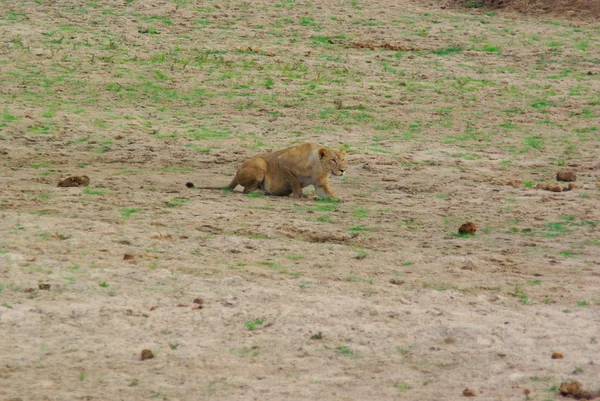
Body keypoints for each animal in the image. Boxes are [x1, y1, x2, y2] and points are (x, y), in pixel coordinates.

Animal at [186, 143, 346, 200]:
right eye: (333, 160)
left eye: (343, 159)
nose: (343, 170)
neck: (317, 167)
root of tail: (236, 173)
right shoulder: (283, 161)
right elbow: (294, 182)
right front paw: (300, 195)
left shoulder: (320, 184)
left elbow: (327, 194)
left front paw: (337, 199)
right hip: (260, 163)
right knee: (246, 190)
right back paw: (261, 192)